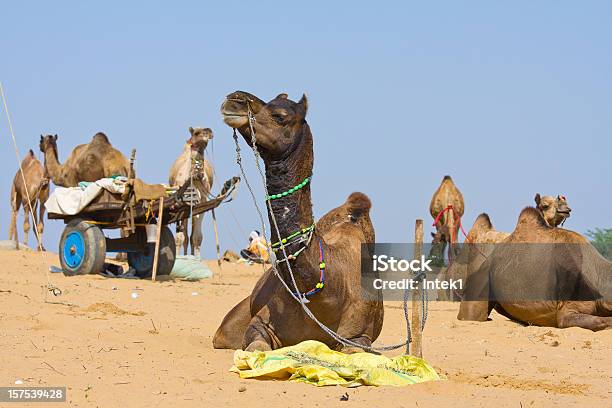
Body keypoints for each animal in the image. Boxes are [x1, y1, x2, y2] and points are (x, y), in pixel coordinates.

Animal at [167, 126, 215, 256]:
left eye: (208, 131)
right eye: (196, 132)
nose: (208, 132)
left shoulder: (203, 202)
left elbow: (197, 237)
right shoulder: (181, 204)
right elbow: (180, 237)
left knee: (192, 236)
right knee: (185, 236)